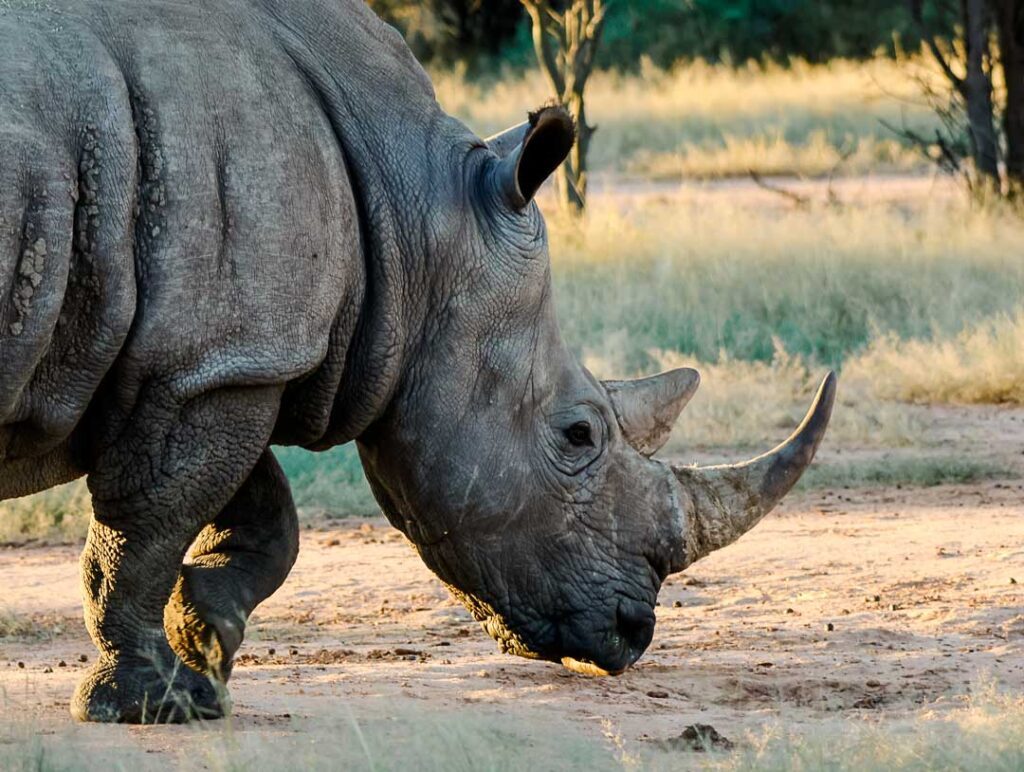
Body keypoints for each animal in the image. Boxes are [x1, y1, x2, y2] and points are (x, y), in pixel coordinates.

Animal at [0, 0, 835, 723]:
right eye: (578, 436)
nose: (634, 633)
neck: (419, 220)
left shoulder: (216, 363)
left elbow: (257, 513)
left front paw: (209, 643)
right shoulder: (211, 361)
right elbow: (144, 533)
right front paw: (157, 706)